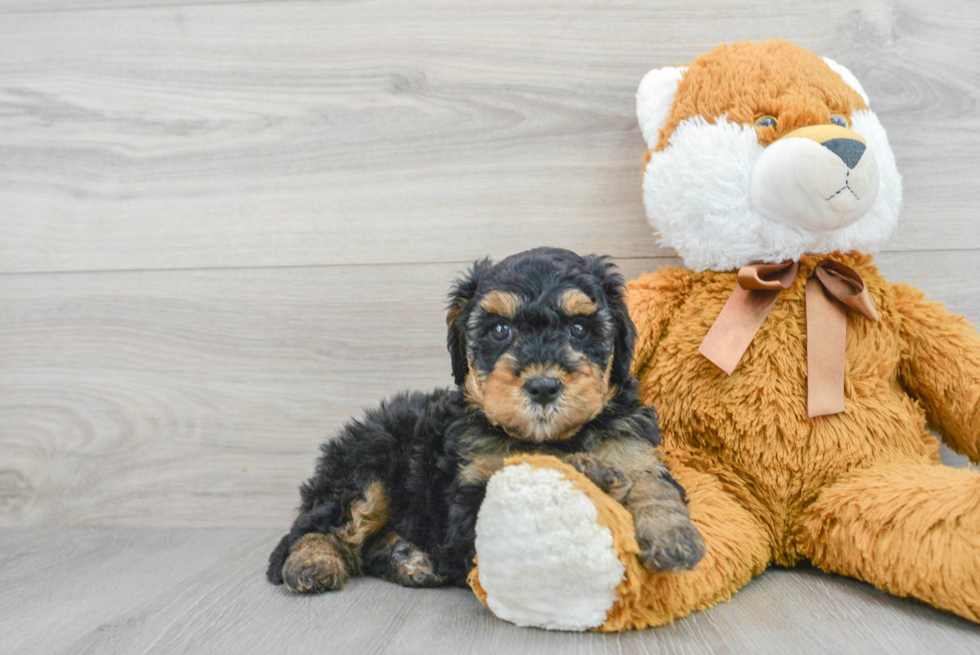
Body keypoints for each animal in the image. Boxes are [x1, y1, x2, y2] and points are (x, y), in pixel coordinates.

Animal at [264, 247, 700, 596]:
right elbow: (518, 481)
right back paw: (312, 563)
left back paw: (410, 561)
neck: (555, 438)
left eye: (579, 328)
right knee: (317, 527)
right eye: (500, 330)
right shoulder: (467, 500)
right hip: (365, 467)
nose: (543, 387)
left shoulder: (632, 448)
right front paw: (591, 474)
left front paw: (672, 534)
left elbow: (654, 484)